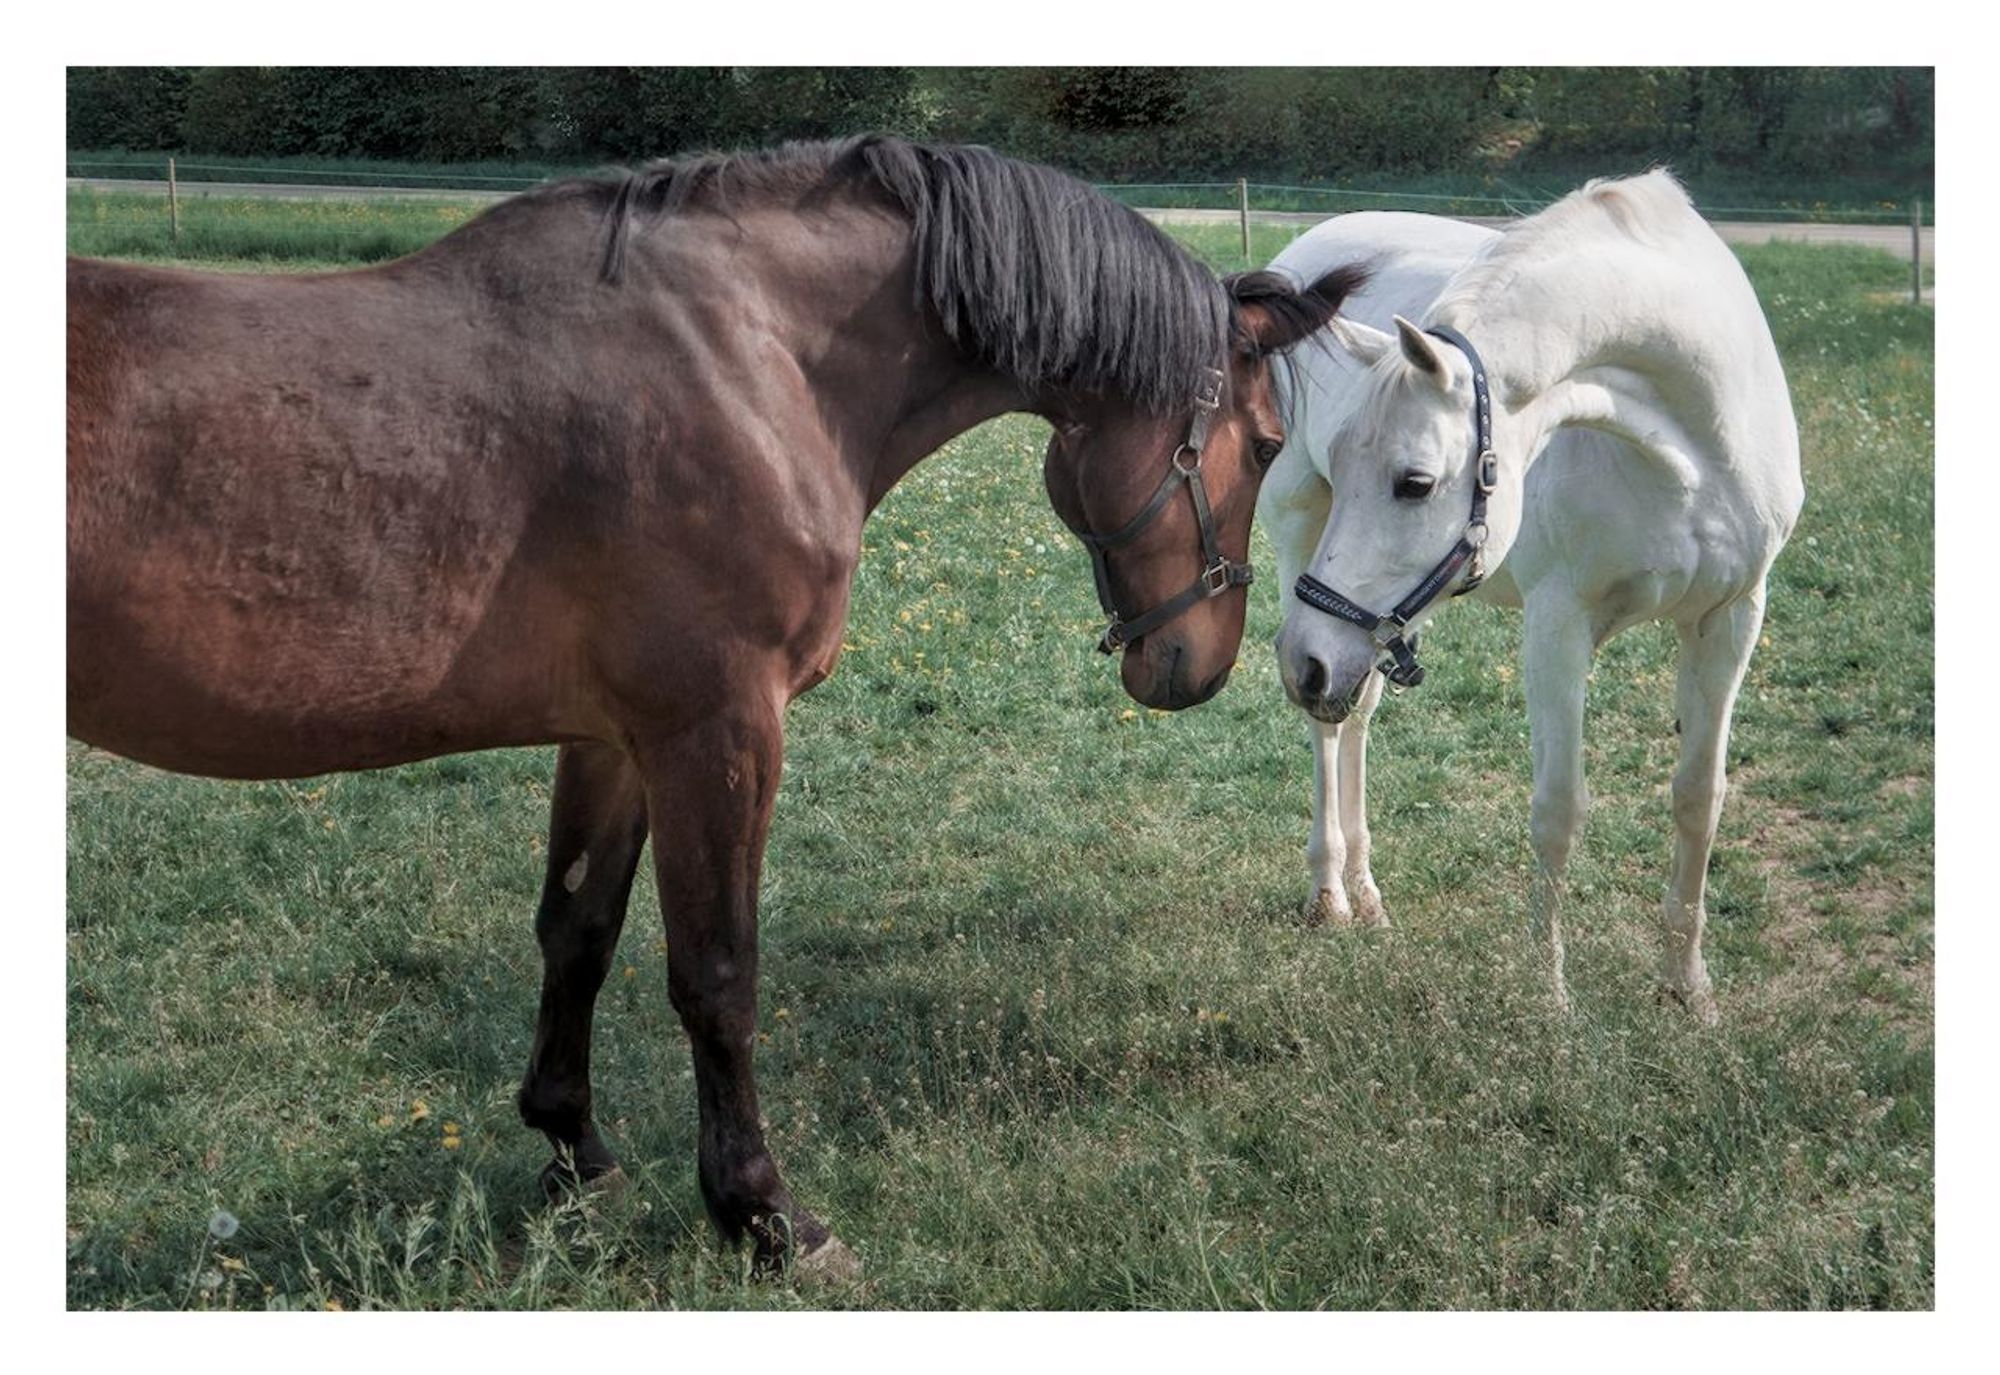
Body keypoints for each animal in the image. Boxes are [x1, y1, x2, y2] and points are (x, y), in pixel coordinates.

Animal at [70, 133, 1368, 1271]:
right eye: (1264, 443)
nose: (1195, 663)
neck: (750, 360)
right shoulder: (718, 728)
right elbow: (716, 973)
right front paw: (763, 1214)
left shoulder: (610, 740)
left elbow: (577, 932)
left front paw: (574, 1151)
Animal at [1256, 171, 1808, 1015]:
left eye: (1414, 482)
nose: (1306, 662)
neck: (1694, 449)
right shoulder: (1559, 626)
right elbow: (1559, 808)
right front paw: (1548, 996)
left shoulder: (1731, 617)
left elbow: (1698, 798)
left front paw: (1687, 988)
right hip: (1304, 546)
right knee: (1329, 726)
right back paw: (1330, 894)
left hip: (1368, 636)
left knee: (1356, 716)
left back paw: (1368, 890)